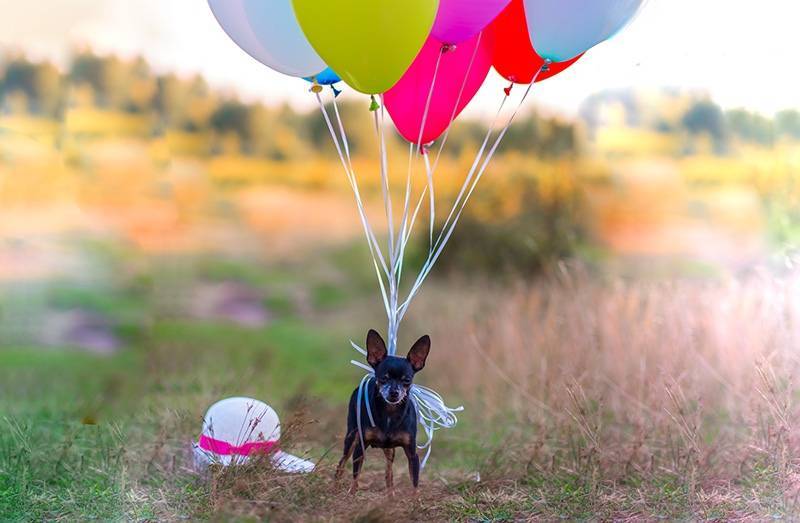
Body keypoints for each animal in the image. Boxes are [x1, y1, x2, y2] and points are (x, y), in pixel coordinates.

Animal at [334, 328, 432, 496]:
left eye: (407, 380)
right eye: (383, 378)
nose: (394, 392)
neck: (390, 414)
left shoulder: (412, 454)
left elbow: (414, 481)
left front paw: (415, 501)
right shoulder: (360, 447)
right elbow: (355, 476)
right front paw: (351, 494)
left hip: (389, 450)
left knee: (389, 472)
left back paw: (391, 495)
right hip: (351, 436)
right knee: (341, 463)